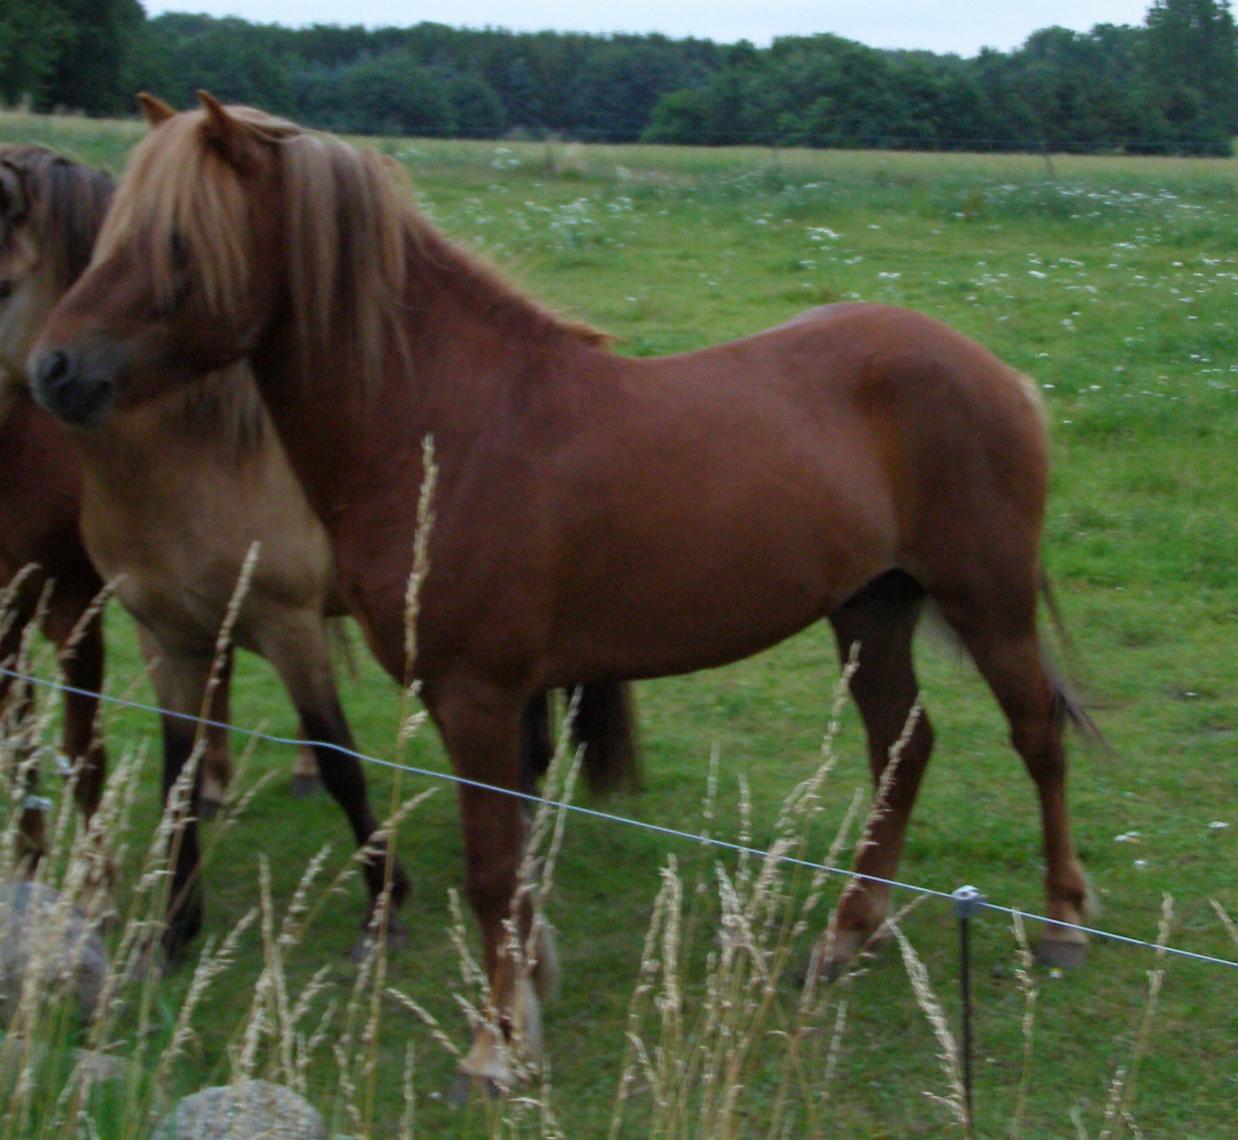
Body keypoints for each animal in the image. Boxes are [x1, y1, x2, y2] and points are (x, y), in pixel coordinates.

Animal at [29, 102, 1094, 1089]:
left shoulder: (475, 695)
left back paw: (1062, 924)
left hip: (986, 602)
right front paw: (526, 989)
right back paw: (847, 934)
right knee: (902, 747)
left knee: (1036, 738)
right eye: (112, 232)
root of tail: (994, 371)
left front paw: (496, 1047)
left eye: (176, 242)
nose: (53, 369)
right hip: (871, 608)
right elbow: (510, 867)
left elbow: (490, 871)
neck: (449, 425)